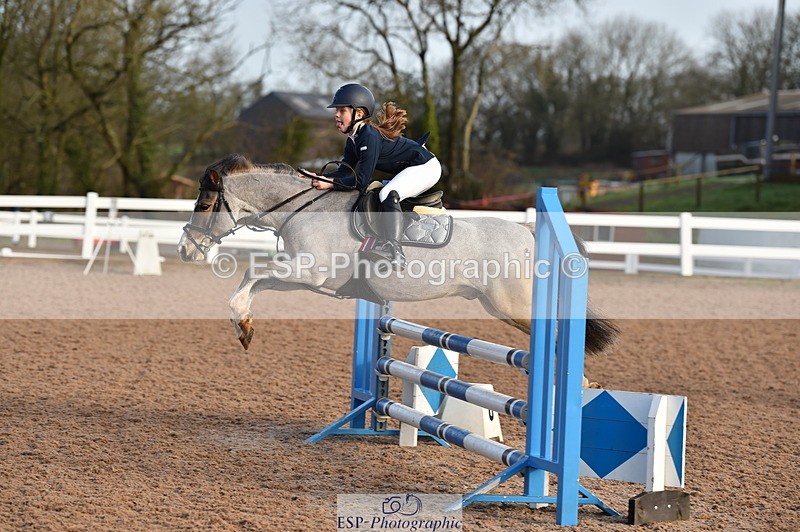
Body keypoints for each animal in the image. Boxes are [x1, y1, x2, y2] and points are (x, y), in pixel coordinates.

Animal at [177, 154, 619, 354]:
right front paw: (245, 326)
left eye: (204, 204)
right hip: (501, 307)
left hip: (515, 305)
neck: (305, 207)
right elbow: (256, 279)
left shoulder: (309, 271)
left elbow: (252, 273)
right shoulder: (305, 277)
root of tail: (528, 233)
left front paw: (240, 321)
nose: (185, 250)